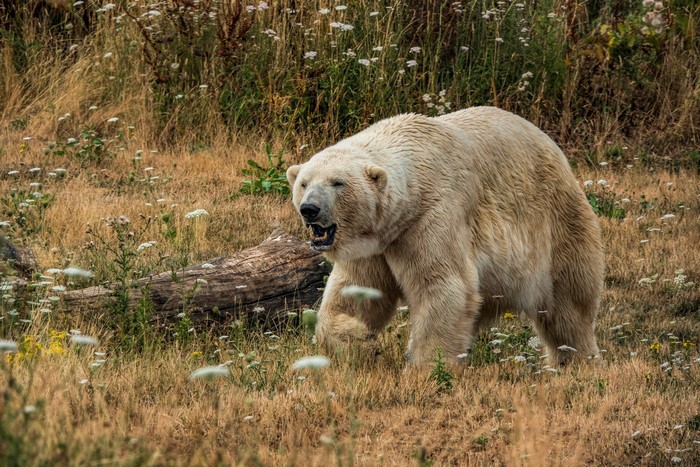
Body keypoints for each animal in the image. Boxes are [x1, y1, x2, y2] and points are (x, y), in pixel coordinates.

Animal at [286, 106, 604, 367]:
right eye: (304, 183)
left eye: (337, 183)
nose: (310, 209)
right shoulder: (375, 242)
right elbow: (357, 289)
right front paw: (358, 335)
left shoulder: (431, 218)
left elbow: (444, 286)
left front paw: (425, 368)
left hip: (556, 222)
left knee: (567, 302)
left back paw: (576, 359)